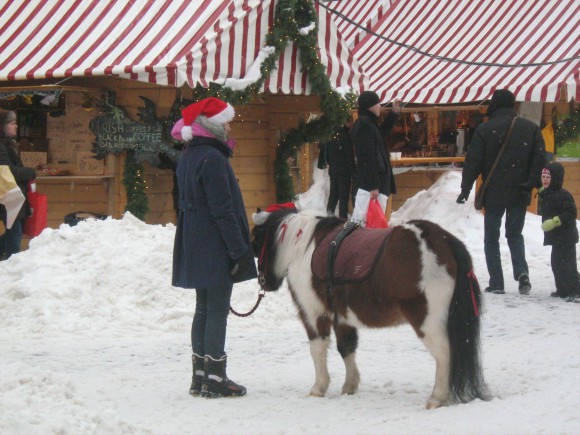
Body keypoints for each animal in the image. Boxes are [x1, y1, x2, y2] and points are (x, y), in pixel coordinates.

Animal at [251, 209, 488, 410]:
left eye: (256, 241)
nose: (265, 282)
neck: (304, 249)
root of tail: (445, 242)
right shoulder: (342, 318)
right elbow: (346, 348)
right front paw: (350, 385)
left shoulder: (314, 314)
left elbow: (317, 350)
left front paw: (319, 387)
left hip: (427, 322)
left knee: (444, 353)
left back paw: (437, 398)